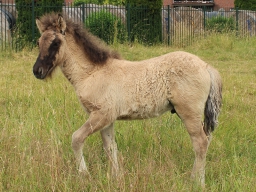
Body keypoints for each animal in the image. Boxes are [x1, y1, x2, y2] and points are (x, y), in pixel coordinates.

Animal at [33, 13, 222, 186]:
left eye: (55, 43)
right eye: (38, 42)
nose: (37, 71)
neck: (92, 73)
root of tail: (206, 67)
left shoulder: (101, 115)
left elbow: (76, 139)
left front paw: (84, 174)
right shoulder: (107, 119)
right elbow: (110, 147)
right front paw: (116, 178)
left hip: (189, 113)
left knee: (200, 143)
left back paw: (197, 182)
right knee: (205, 140)